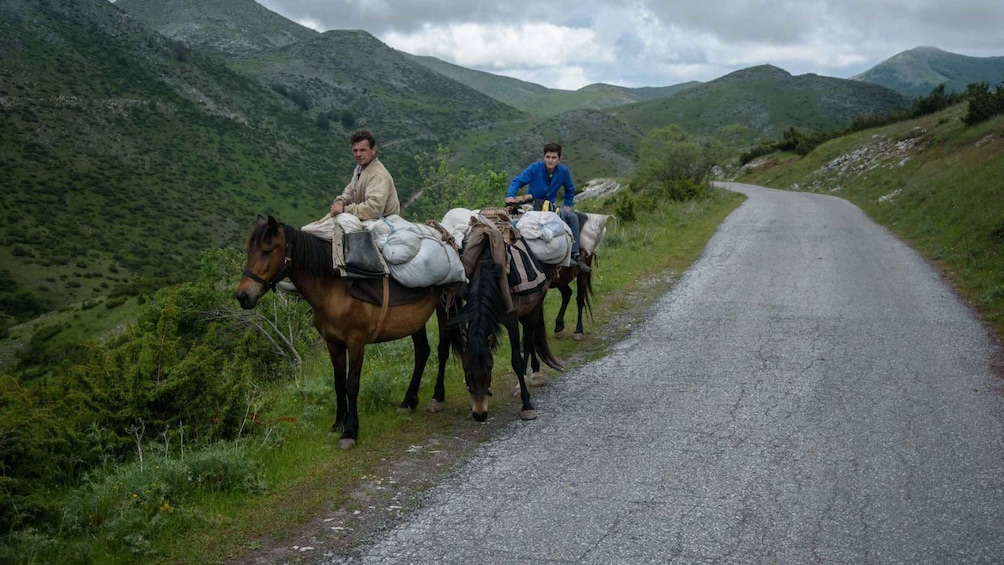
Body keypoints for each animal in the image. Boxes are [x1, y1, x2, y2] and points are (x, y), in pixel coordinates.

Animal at [234, 216, 459, 451]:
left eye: (267, 251)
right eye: (249, 250)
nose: (243, 295)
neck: (333, 288)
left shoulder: (356, 342)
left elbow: (352, 385)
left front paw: (350, 431)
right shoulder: (333, 343)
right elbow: (339, 382)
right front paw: (337, 423)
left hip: (445, 309)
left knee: (442, 350)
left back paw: (437, 398)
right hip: (415, 321)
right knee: (422, 352)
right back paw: (409, 401)